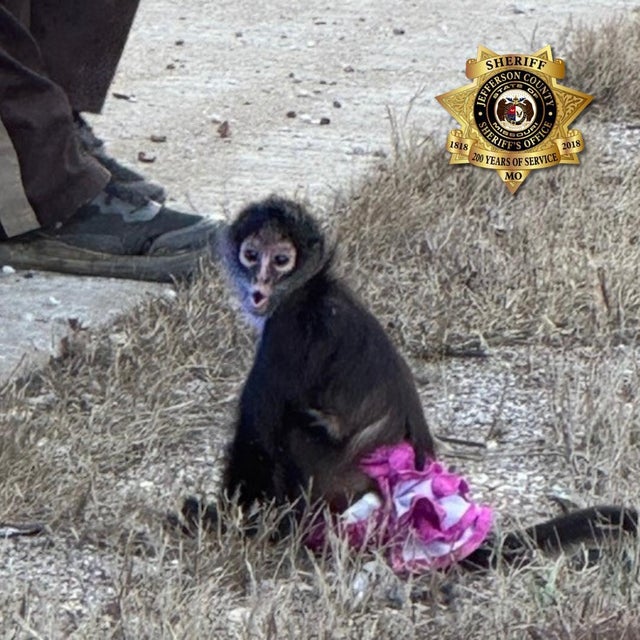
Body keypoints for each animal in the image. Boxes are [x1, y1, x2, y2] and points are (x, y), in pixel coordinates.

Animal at [180, 196, 638, 570]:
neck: (310, 288)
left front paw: (222, 523)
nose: (259, 287)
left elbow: (256, 435)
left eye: (280, 260)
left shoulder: (286, 332)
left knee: (294, 425)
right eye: (251, 255)